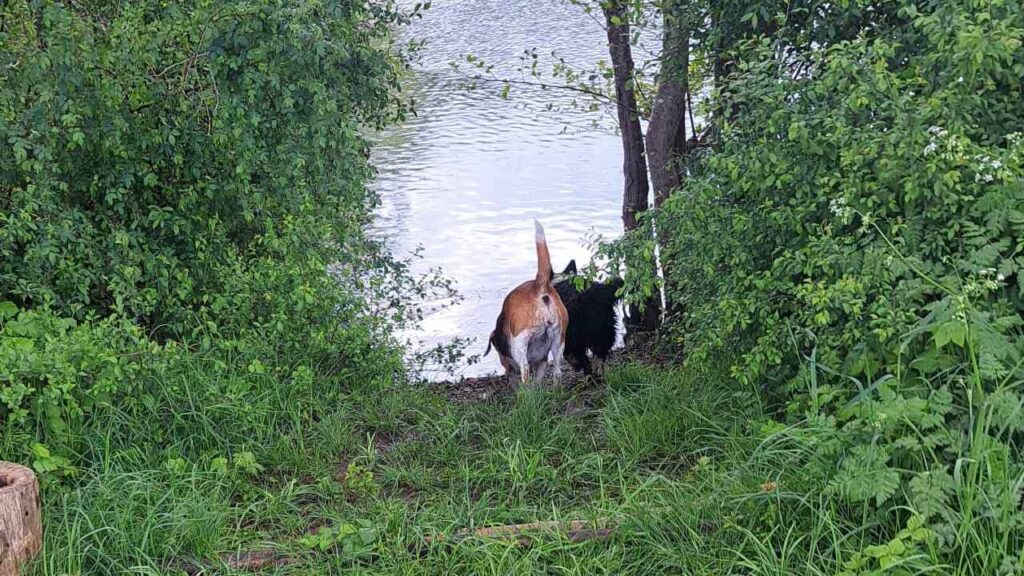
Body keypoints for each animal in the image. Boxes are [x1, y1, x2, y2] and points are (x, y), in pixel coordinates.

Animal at [485, 222, 569, 383]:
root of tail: (538, 287)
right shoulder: (543, 361)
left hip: (519, 344)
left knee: (525, 370)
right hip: (559, 341)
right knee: (557, 371)